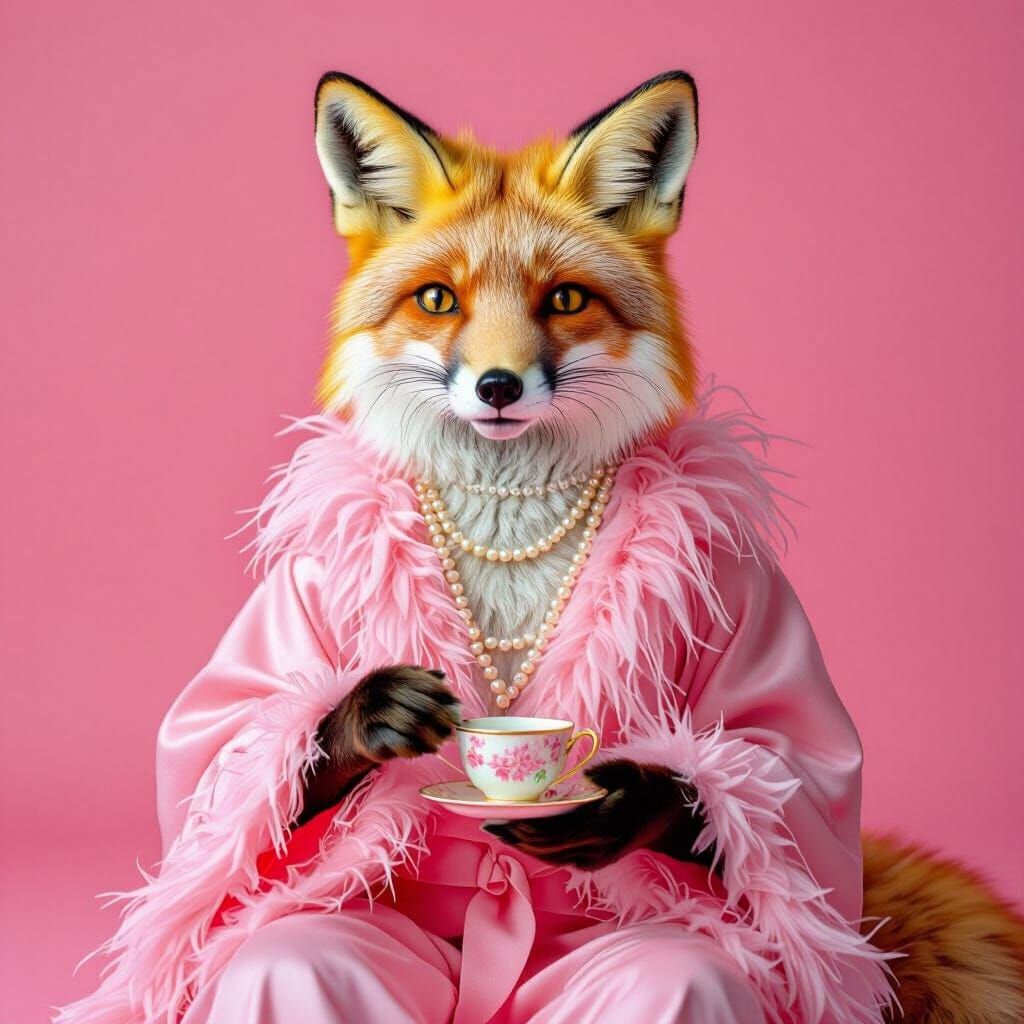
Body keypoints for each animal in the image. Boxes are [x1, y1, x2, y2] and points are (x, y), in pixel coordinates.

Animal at [58, 71, 1023, 1024]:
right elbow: (222, 763)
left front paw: (637, 802)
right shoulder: (300, 588)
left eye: (563, 298)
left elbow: (779, 772)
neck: (510, 529)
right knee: (296, 954)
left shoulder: (741, 584)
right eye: (438, 299)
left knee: (680, 968)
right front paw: (367, 715)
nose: (497, 386)